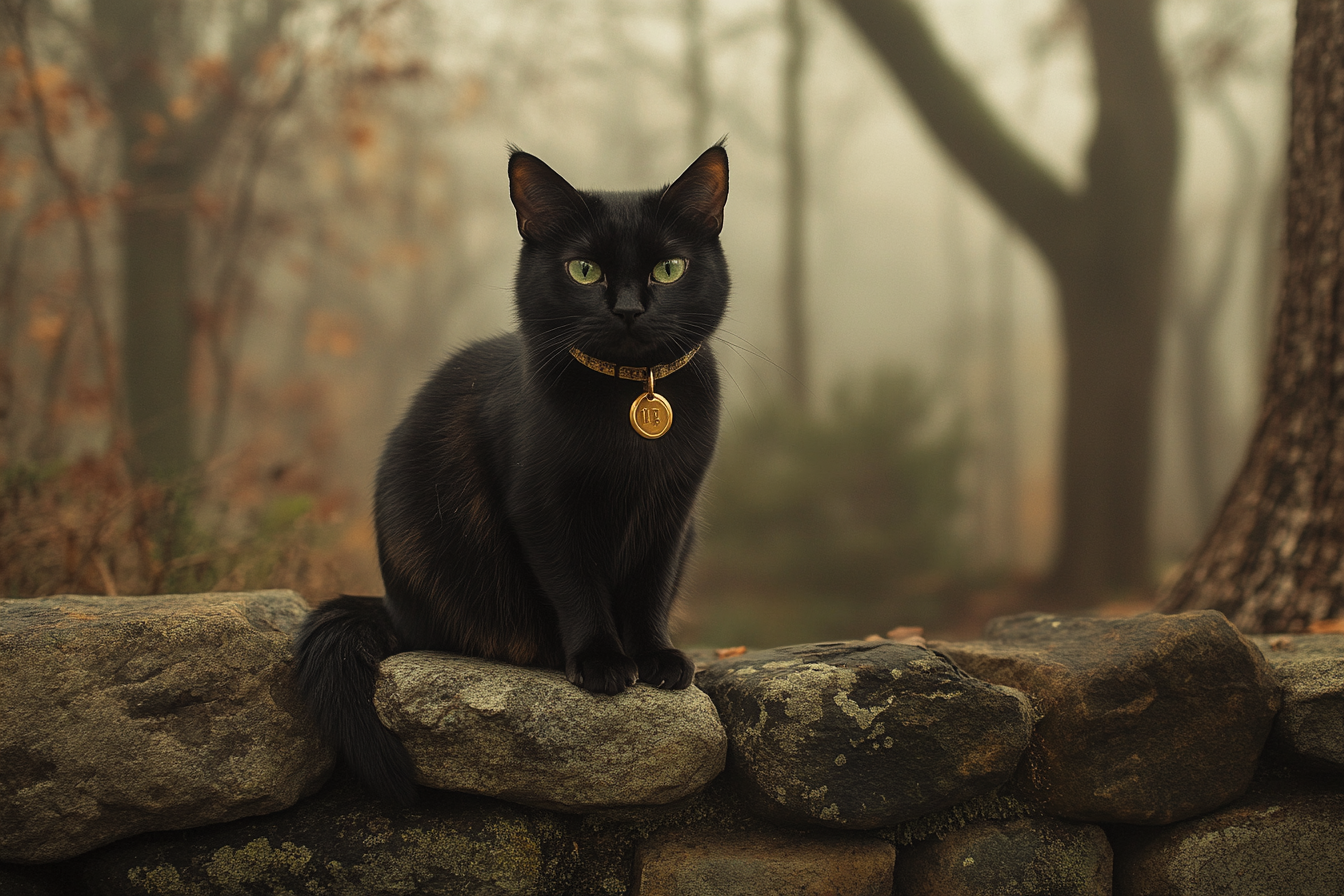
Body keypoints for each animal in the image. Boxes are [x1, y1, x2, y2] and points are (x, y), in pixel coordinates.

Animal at [295, 145, 731, 805]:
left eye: (669, 269)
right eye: (583, 271)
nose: (629, 309)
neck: (629, 406)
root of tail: (391, 609)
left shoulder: (673, 513)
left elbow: (650, 588)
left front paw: (658, 658)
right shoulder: (542, 509)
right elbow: (576, 586)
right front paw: (602, 662)